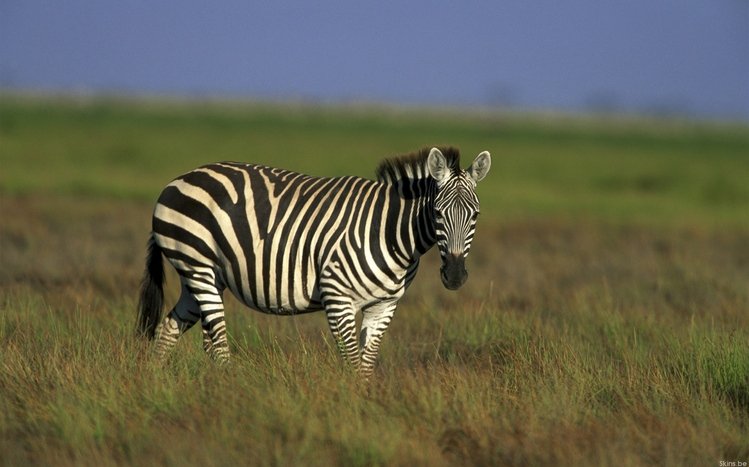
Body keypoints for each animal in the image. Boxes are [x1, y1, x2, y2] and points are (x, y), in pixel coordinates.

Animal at [137, 146, 491, 377]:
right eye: (438, 213)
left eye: (475, 215)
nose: (455, 276)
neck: (390, 231)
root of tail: (179, 180)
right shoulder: (338, 299)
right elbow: (352, 362)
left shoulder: (384, 305)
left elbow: (366, 366)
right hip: (197, 265)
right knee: (218, 346)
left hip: (203, 277)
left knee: (170, 329)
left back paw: (156, 385)